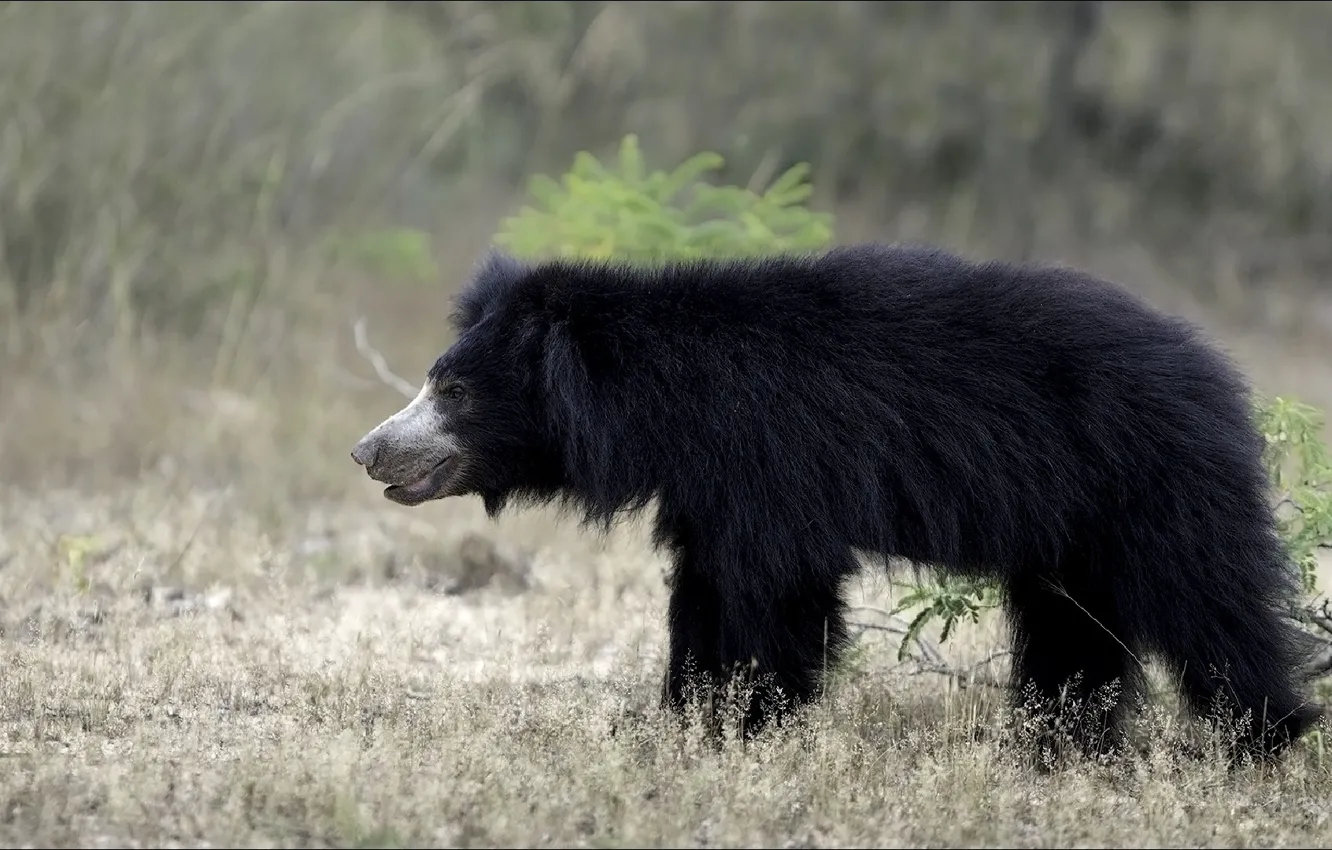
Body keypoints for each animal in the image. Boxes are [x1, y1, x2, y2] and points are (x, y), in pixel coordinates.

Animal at [351, 242, 1323, 762]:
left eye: (454, 392)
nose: (367, 452)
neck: (670, 402)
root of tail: (1220, 379)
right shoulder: (710, 490)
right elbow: (704, 595)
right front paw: (685, 717)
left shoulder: (774, 463)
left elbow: (774, 598)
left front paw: (748, 725)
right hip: (1074, 529)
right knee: (1072, 632)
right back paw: (1053, 745)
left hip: (1153, 485)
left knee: (1207, 604)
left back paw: (1264, 739)